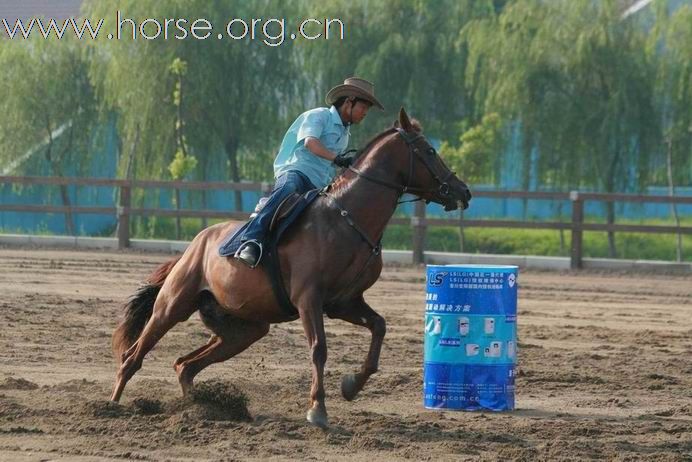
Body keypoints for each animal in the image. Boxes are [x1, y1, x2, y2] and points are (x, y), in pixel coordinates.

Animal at [111, 106, 474, 428]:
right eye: (429, 150)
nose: (463, 191)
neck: (344, 219)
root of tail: (195, 245)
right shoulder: (308, 299)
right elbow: (319, 349)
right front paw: (317, 410)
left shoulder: (344, 302)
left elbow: (379, 327)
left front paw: (352, 385)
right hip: (172, 307)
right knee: (133, 357)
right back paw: (112, 405)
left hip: (244, 329)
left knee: (184, 365)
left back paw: (199, 409)